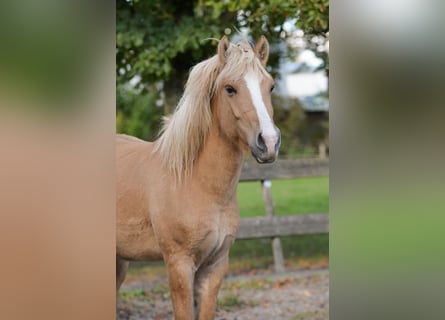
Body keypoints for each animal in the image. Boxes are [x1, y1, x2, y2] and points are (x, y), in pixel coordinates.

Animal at [116, 36, 280, 318]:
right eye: (230, 89)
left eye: (270, 86)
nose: (268, 142)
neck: (194, 181)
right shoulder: (179, 265)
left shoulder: (215, 267)